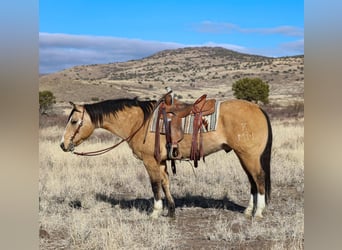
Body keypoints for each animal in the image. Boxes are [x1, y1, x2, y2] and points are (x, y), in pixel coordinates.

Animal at [59, 95, 272, 219]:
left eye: (74, 121)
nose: (63, 145)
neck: (140, 122)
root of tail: (258, 109)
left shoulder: (150, 162)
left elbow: (155, 185)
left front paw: (155, 211)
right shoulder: (161, 161)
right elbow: (165, 183)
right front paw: (171, 210)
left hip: (249, 156)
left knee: (259, 179)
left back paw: (258, 212)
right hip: (243, 156)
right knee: (252, 182)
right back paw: (248, 210)